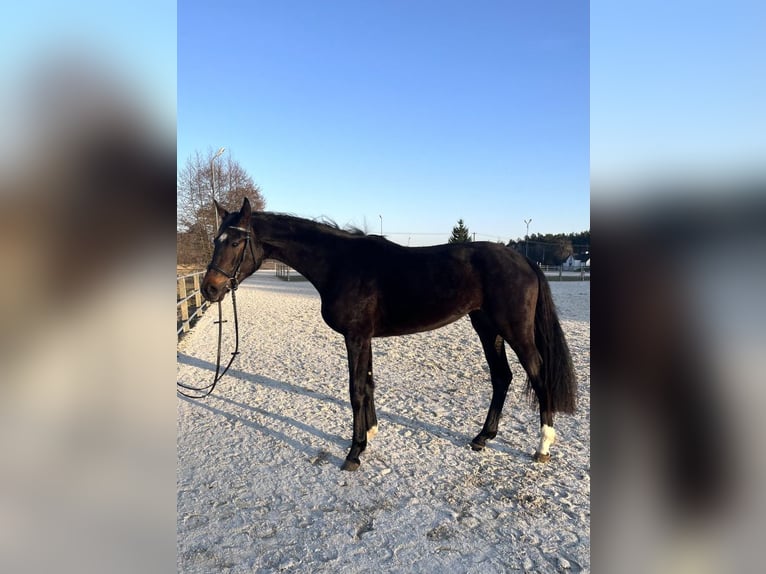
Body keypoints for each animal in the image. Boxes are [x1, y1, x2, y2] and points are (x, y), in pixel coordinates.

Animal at [201, 197, 577, 471]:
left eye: (236, 241)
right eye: (215, 240)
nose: (209, 289)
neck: (340, 264)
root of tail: (525, 261)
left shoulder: (355, 336)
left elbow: (355, 389)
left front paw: (354, 453)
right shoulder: (364, 338)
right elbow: (368, 385)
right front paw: (369, 434)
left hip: (515, 330)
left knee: (538, 375)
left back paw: (542, 446)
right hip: (487, 328)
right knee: (502, 377)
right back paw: (483, 437)